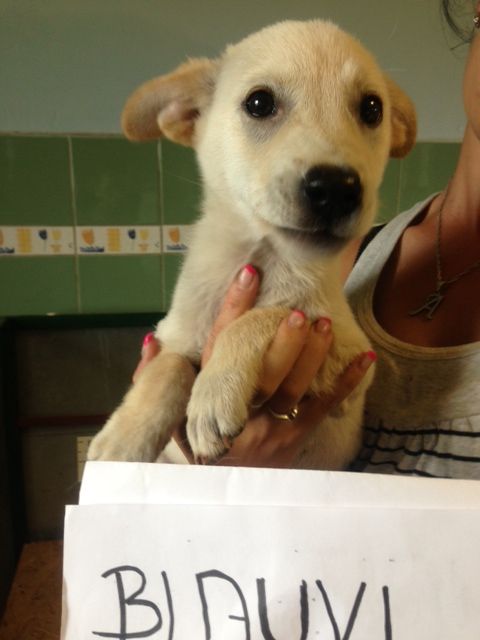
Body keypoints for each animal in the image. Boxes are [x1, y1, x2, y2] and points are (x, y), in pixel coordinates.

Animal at [88, 19, 416, 469]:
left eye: (371, 109)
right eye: (259, 103)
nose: (337, 189)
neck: (261, 257)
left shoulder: (352, 358)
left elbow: (266, 316)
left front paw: (213, 395)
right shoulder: (172, 335)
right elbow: (168, 368)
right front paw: (123, 438)